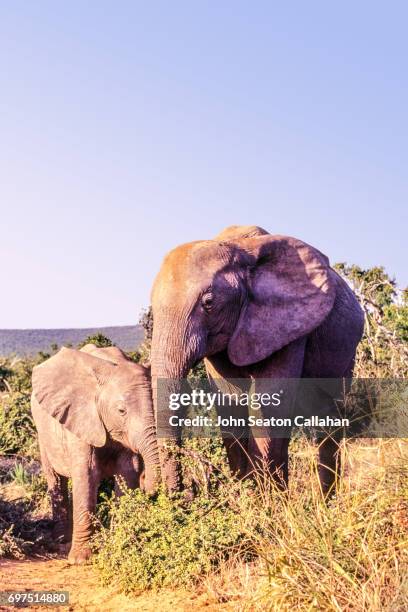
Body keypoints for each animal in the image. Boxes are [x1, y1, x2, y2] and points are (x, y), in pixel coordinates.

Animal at [31, 344, 159, 564]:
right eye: (121, 411)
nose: (148, 484)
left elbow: (128, 472)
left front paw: (119, 547)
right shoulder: (81, 418)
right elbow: (87, 474)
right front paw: (79, 560)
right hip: (43, 433)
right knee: (55, 478)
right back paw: (62, 538)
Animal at [151, 227, 364, 494]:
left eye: (209, 303)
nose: (188, 490)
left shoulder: (288, 327)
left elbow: (268, 402)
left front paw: (266, 503)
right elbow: (230, 404)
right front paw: (248, 497)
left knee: (328, 416)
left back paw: (325, 502)